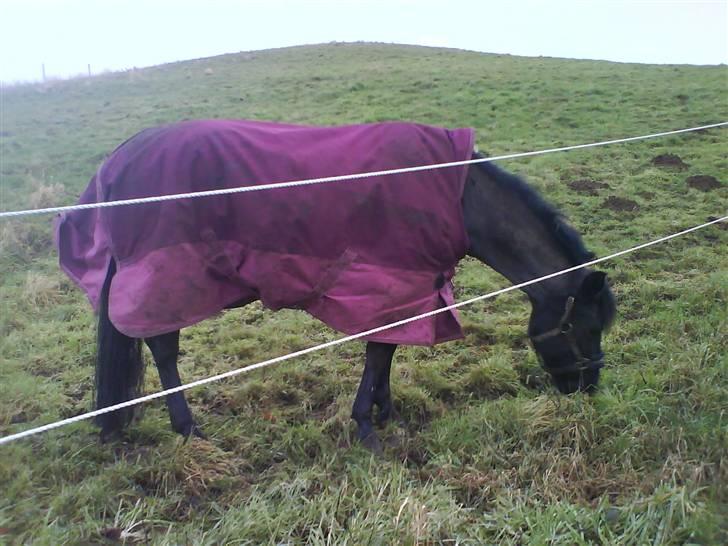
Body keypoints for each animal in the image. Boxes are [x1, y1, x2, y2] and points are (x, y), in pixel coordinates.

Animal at [54, 119, 616, 446]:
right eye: (582, 328)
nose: (587, 389)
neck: (455, 194)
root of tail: (119, 161)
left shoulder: (408, 285)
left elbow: (388, 351)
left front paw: (385, 410)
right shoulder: (389, 282)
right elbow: (379, 350)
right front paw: (367, 422)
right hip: (167, 281)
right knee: (163, 347)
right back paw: (188, 427)